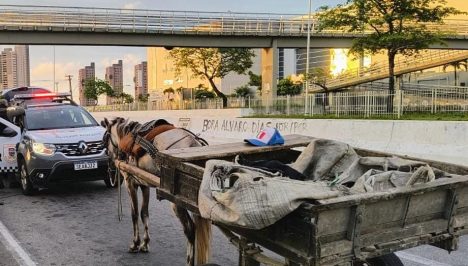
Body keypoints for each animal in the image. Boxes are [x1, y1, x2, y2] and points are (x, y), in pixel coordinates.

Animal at [103, 117, 214, 264]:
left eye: (105, 139)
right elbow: (144, 213)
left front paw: (135, 244)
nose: (110, 158)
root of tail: (194, 143)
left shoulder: (129, 182)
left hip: (176, 202)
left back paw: (189, 260)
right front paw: (145, 244)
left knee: (190, 230)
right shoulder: (144, 183)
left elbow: (134, 214)